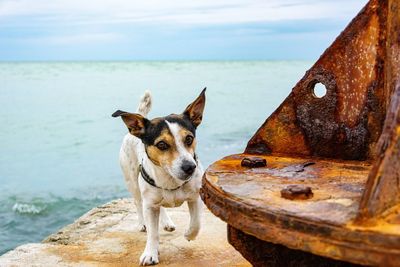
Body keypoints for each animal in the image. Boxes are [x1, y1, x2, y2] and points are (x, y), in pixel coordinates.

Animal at [111, 88, 206, 266]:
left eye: (189, 138)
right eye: (162, 144)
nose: (190, 167)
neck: (171, 180)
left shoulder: (196, 197)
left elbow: (196, 223)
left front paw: (189, 234)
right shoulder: (149, 205)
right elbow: (152, 233)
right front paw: (150, 253)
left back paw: (167, 222)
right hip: (133, 182)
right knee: (138, 203)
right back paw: (143, 223)